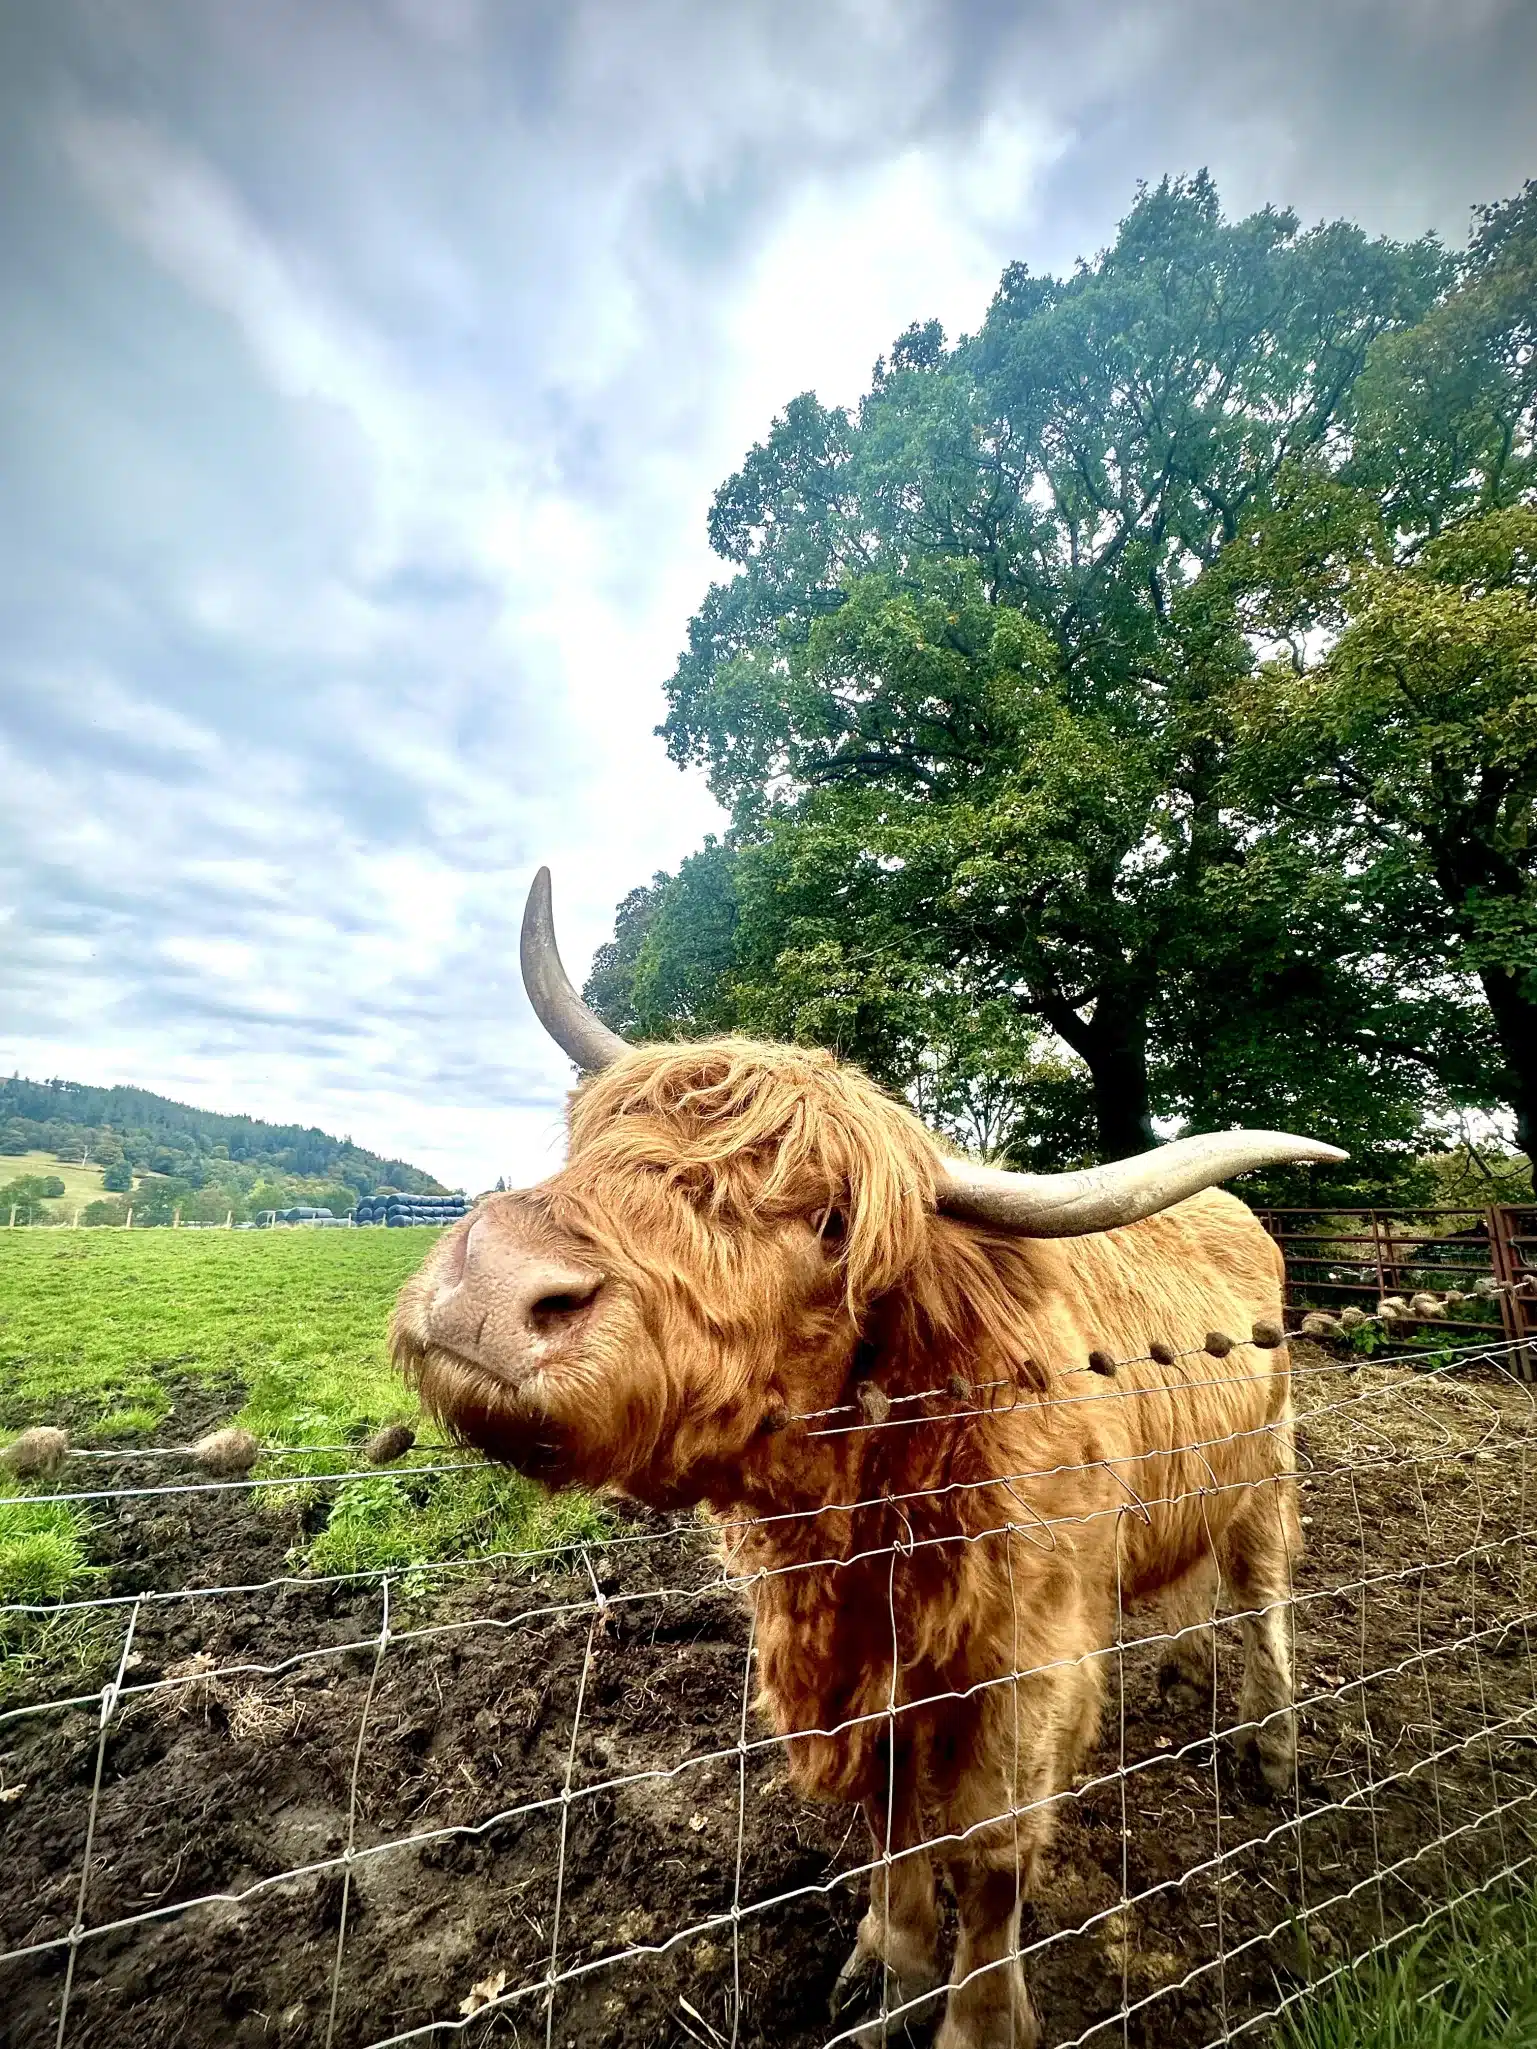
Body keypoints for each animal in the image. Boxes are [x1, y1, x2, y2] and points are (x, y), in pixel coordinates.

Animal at [397, 868, 1344, 2049]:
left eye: (832, 1223)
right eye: (596, 1142)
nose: (490, 1285)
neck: (872, 1521)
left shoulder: (1027, 1669)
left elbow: (987, 1853)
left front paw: (977, 2017)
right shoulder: (850, 1670)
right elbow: (891, 1820)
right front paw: (886, 1968)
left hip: (1267, 1468)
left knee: (1262, 1597)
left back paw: (1271, 1751)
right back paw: (1177, 1677)